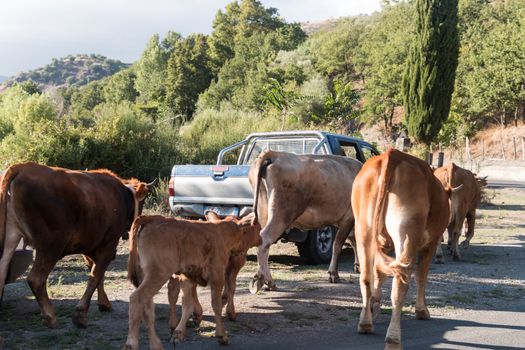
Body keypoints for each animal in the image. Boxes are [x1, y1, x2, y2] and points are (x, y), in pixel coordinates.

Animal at [0, 161, 150, 328]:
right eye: (142, 202)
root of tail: (23, 167)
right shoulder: (108, 244)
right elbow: (95, 276)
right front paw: (80, 314)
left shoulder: (90, 245)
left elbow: (97, 273)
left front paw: (104, 303)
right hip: (51, 245)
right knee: (36, 279)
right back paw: (50, 316)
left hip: (10, 239)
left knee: (2, 272)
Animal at [123, 212, 262, 348]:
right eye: (258, 227)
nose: (261, 240)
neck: (223, 232)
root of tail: (152, 218)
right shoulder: (217, 277)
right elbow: (216, 304)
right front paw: (222, 335)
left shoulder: (188, 278)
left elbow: (187, 304)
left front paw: (178, 333)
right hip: (157, 275)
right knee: (137, 299)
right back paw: (131, 344)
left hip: (145, 276)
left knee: (147, 307)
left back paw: (156, 344)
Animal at [248, 150, 362, 292]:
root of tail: (274, 154)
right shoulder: (348, 217)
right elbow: (338, 245)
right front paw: (334, 274)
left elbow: (354, 241)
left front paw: (358, 266)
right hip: (281, 215)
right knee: (264, 241)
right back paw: (266, 281)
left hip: (264, 212)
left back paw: (264, 279)